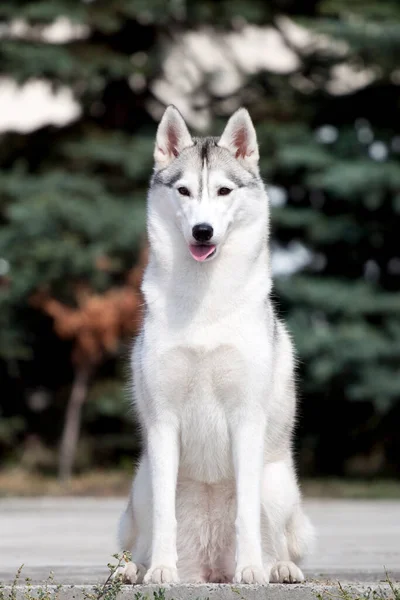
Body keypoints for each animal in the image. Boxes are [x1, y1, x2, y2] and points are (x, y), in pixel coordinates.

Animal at [117, 105, 314, 584]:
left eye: (224, 190)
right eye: (184, 190)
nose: (202, 231)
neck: (204, 304)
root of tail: (207, 569)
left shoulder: (247, 419)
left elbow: (247, 515)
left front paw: (252, 570)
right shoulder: (163, 422)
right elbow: (165, 516)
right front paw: (160, 571)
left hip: (277, 482)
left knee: (276, 536)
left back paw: (277, 567)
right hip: (142, 481)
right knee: (142, 538)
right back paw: (136, 569)